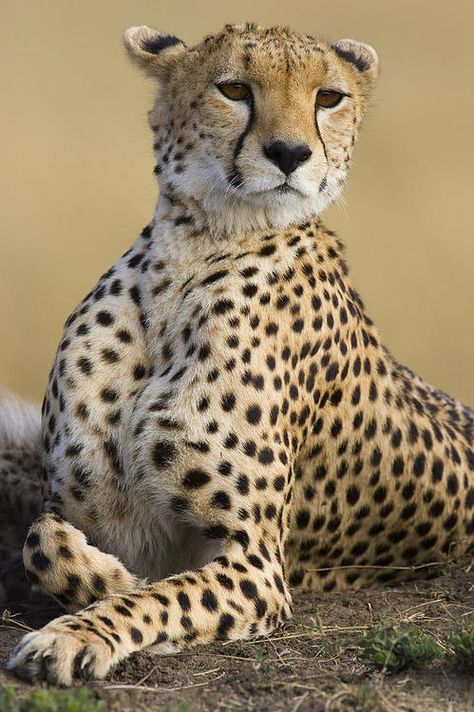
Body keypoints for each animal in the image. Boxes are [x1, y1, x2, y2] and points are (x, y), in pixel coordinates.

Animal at [3, 25, 474, 688]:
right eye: (233, 89)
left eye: (329, 97)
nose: (289, 153)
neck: (193, 255)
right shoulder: (84, 508)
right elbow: (41, 541)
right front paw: (109, 577)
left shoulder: (257, 564)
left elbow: (158, 598)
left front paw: (74, 634)